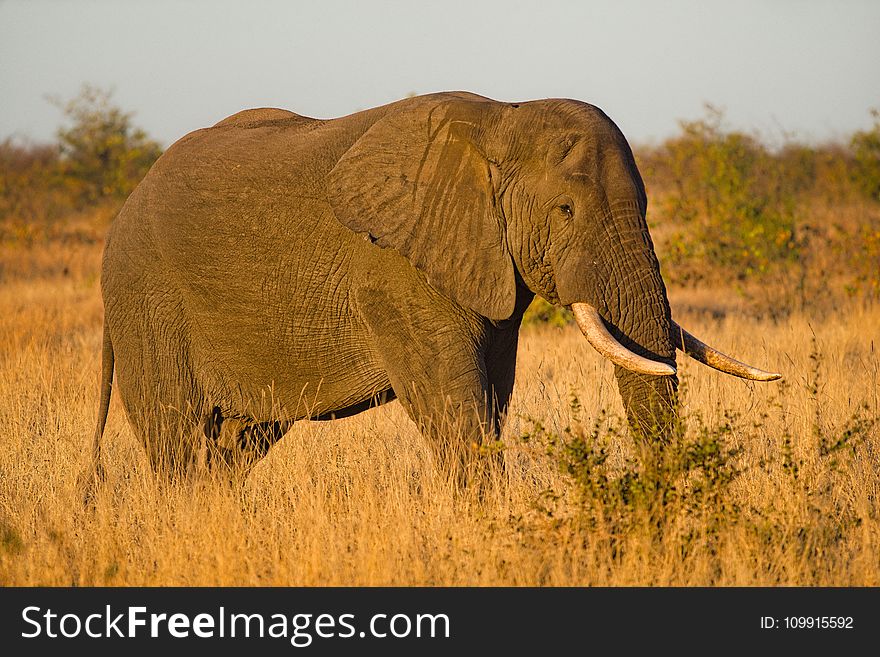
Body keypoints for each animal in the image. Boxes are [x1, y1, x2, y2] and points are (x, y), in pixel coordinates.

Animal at [84, 89, 784, 484]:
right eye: (565, 211)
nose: (657, 509)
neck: (501, 122)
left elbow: (492, 391)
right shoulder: (395, 269)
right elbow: (452, 402)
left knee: (235, 445)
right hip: (145, 297)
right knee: (177, 438)